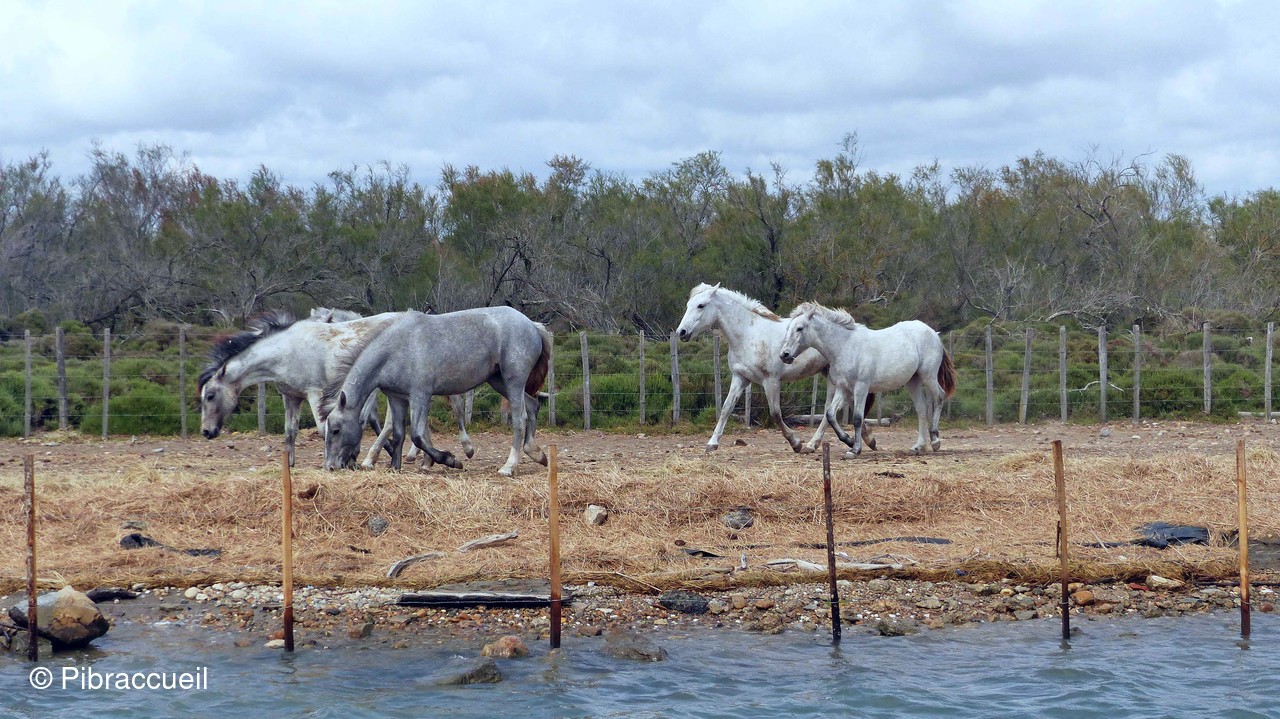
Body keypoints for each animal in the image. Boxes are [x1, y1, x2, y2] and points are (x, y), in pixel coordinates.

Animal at [319, 307, 552, 477]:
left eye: (336, 430)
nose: (330, 466)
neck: (396, 349)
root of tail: (532, 324)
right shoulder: (397, 398)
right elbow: (399, 433)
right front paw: (395, 467)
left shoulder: (420, 396)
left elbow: (417, 435)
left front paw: (450, 460)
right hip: (498, 381)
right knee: (533, 407)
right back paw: (537, 454)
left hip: (513, 381)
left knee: (520, 419)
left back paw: (509, 466)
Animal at [675, 283, 876, 453]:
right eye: (688, 305)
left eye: (701, 305)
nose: (681, 332)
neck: (748, 335)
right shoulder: (740, 378)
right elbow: (725, 408)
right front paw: (712, 443)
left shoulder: (770, 381)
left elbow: (775, 413)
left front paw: (795, 443)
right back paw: (866, 439)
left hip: (835, 378)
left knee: (831, 409)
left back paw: (814, 444)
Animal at [779, 302, 956, 458]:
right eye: (787, 328)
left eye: (800, 328)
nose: (784, 355)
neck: (845, 346)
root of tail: (933, 333)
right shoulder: (843, 388)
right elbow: (830, 414)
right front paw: (849, 441)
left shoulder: (861, 388)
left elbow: (857, 418)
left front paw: (854, 450)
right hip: (913, 381)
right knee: (921, 409)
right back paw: (918, 447)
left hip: (928, 376)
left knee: (939, 397)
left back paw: (935, 441)